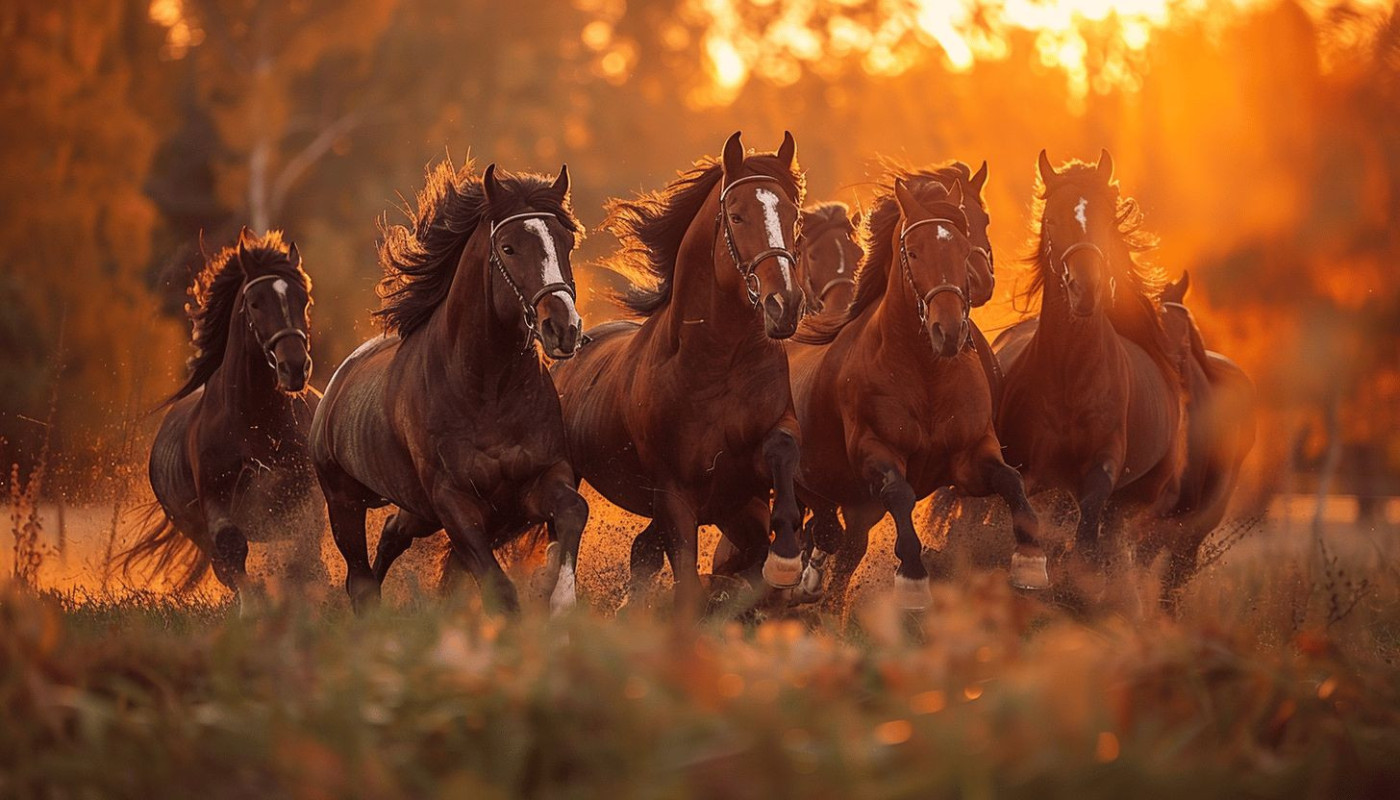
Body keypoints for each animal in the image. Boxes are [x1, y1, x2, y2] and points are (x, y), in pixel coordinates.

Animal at [123, 228, 319, 601]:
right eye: (255, 302)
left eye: (304, 300)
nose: (294, 367)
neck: (255, 422)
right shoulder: (216, 500)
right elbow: (232, 548)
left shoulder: (305, 493)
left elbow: (307, 549)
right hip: (191, 527)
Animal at [310, 159, 588, 614]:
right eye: (508, 248)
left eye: (566, 242)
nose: (563, 328)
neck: (487, 390)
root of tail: (335, 388)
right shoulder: (453, 502)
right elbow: (497, 586)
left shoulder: (536, 482)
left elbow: (572, 511)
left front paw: (560, 597)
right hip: (345, 504)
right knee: (361, 580)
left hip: (417, 511)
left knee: (391, 534)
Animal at [550, 132, 807, 613]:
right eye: (737, 216)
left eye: (792, 215)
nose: (785, 305)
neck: (718, 365)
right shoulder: (675, 495)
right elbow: (687, 578)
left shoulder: (744, 489)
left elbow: (781, 451)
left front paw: (785, 564)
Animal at [785, 175, 1048, 611]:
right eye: (913, 251)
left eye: (962, 245)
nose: (949, 330)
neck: (927, 375)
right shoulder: (876, 452)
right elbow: (901, 494)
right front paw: (912, 579)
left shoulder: (969, 457)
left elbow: (1011, 481)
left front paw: (1031, 565)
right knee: (818, 522)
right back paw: (802, 578)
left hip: (858, 505)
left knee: (844, 545)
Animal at [993, 150, 1185, 572]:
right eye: (1051, 219)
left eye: (1106, 219)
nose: (1085, 289)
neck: (1070, 374)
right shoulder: (1028, 467)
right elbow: (1021, 512)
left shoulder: (1103, 465)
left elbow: (1088, 523)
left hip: (1138, 494)